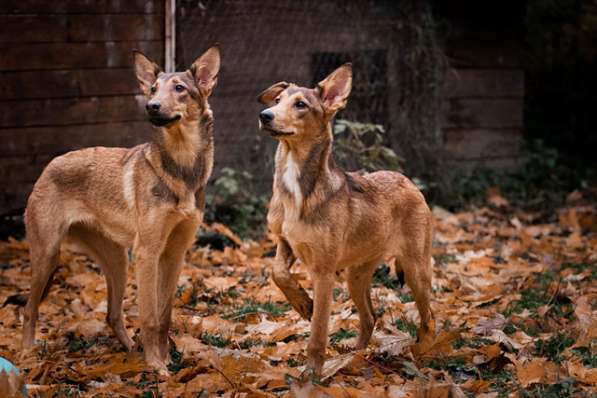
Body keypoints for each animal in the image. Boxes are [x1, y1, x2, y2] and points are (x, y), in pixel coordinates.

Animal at [21, 45, 222, 374]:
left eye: (179, 88)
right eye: (152, 89)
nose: (152, 106)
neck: (181, 167)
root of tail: (50, 165)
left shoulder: (174, 254)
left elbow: (164, 316)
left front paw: (164, 360)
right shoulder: (148, 253)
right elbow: (150, 317)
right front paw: (157, 366)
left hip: (117, 262)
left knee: (112, 315)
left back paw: (130, 350)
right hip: (48, 257)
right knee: (29, 309)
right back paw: (27, 353)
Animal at [256, 63, 434, 374]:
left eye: (300, 105)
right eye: (277, 101)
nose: (265, 116)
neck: (297, 187)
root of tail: (408, 181)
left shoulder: (324, 273)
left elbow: (318, 331)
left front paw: (311, 374)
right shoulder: (284, 241)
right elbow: (277, 273)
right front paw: (302, 303)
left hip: (416, 270)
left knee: (429, 316)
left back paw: (426, 350)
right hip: (357, 275)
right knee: (370, 317)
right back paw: (355, 357)